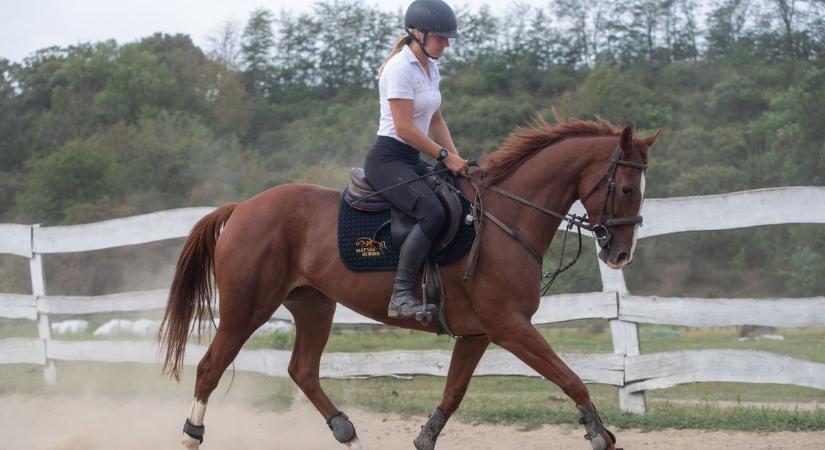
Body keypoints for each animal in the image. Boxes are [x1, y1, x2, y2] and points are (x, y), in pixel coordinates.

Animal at [158, 117, 660, 450]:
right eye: (626, 189)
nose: (620, 254)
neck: (506, 218)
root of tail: (243, 207)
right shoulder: (510, 326)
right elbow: (570, 378)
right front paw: (598, 433)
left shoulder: (478, 333)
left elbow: (453, 394)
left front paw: (423, 438)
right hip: (247, 308)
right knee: (210, 369)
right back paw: (191, 436)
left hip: (314, 305)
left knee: (302, 371)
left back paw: (347, 432)